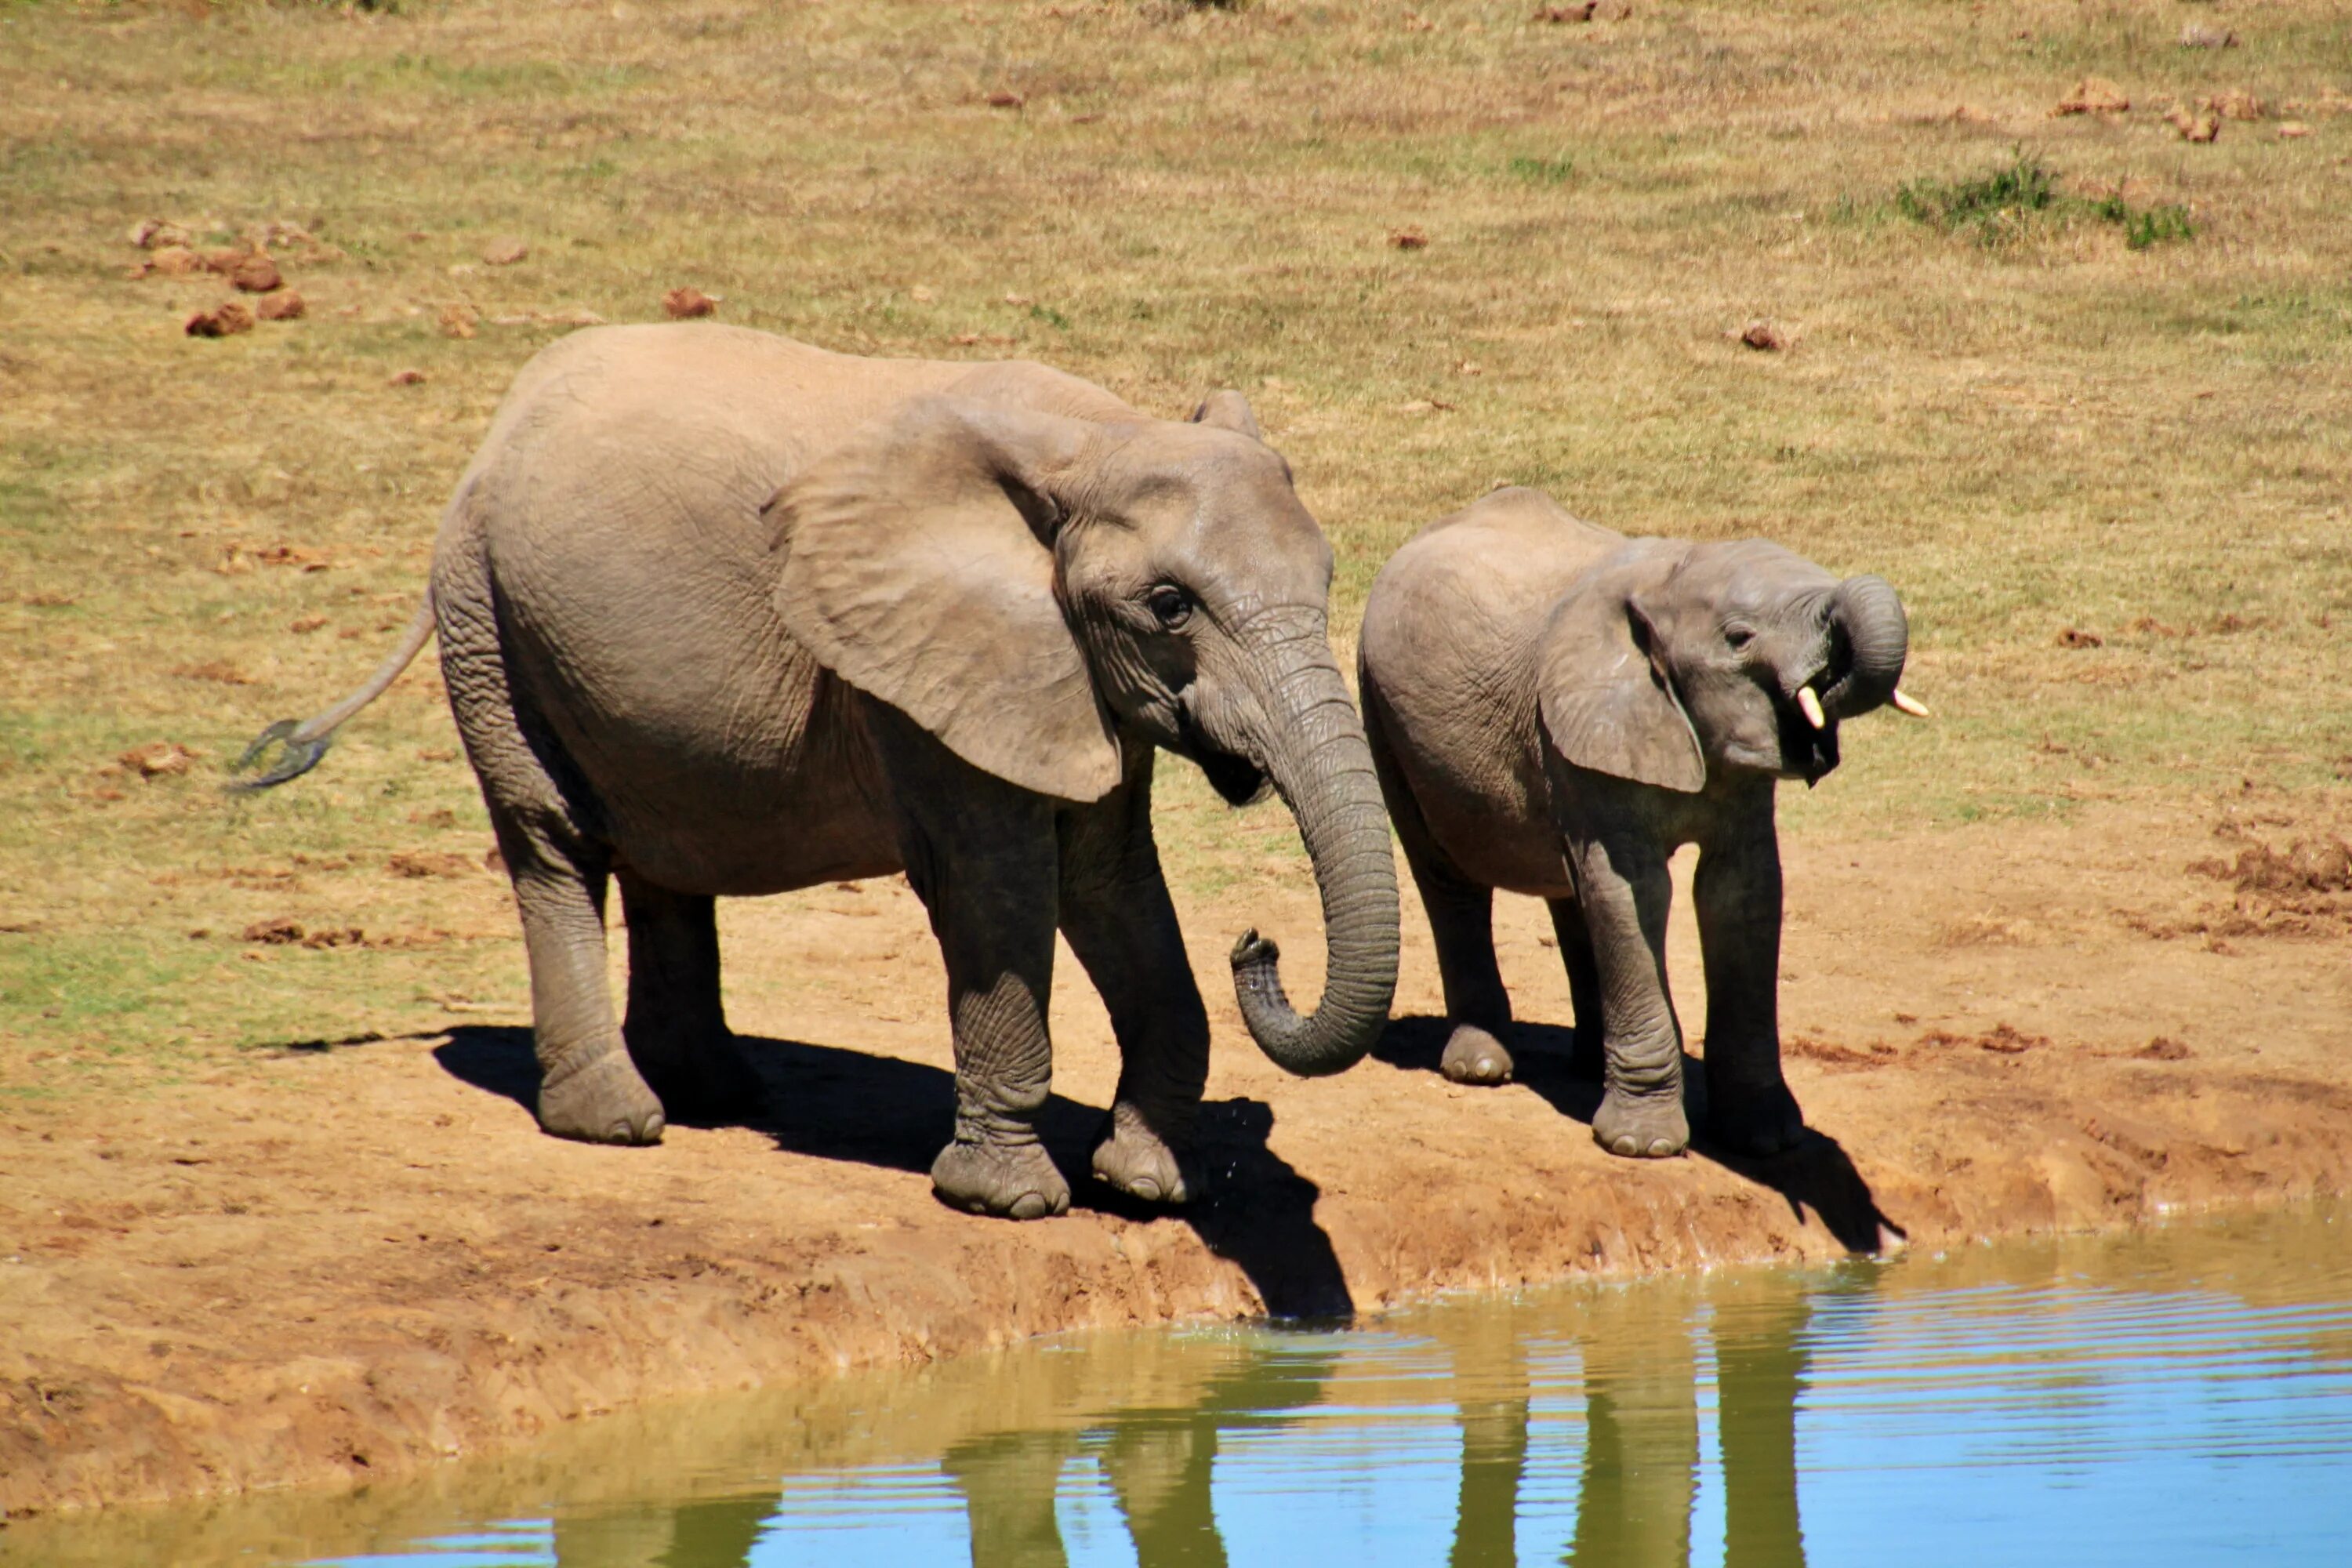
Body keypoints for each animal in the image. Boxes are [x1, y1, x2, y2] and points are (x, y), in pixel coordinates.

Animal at [243, 324, 1392, 1222]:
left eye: (1328, 574)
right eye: (1169, 605)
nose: (1257, 939)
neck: (1095, 436)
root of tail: (496, 432)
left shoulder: (1066, 674)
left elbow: (1111, 874)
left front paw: (1148, 1182)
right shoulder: (911, 670)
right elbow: (996, 880)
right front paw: (1010, 1201)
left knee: (663, 847)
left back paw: (716, 1096)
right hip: (487, 617)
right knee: (552, 840)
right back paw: (619, 1123)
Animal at [1364, 491, 1929, 1166]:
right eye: (1740, 638)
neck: (1670, 578)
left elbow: (1741, 893)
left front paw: (1765, 1139)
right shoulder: (1586, 727)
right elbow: (1635, 890)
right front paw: (1644, 1146)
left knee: (1569, 886)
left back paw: (1587, 1067)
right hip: (1385, 716)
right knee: (1450, 879)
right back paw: (1481, 1067)